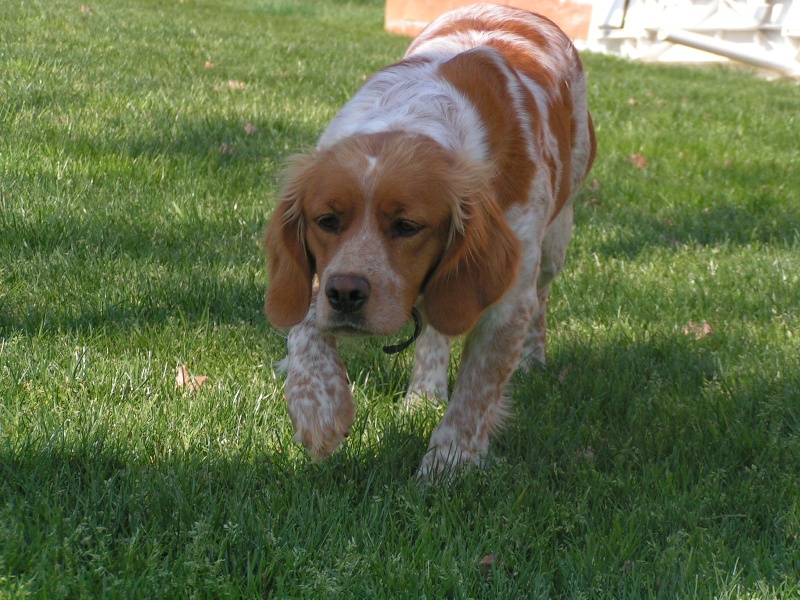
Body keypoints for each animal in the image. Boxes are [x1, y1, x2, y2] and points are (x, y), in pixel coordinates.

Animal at [262, 2, 592, 480]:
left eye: (407, 226)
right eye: (326, 220)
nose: (346, 294)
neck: (416, 116)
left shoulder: (509, 298)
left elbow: (477, 392)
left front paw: (446, 467)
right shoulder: (319, 276)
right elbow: (305, 327)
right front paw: (319, 410)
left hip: (555, 240)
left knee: (542, 298)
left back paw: (533, 358)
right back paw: (424, 394)